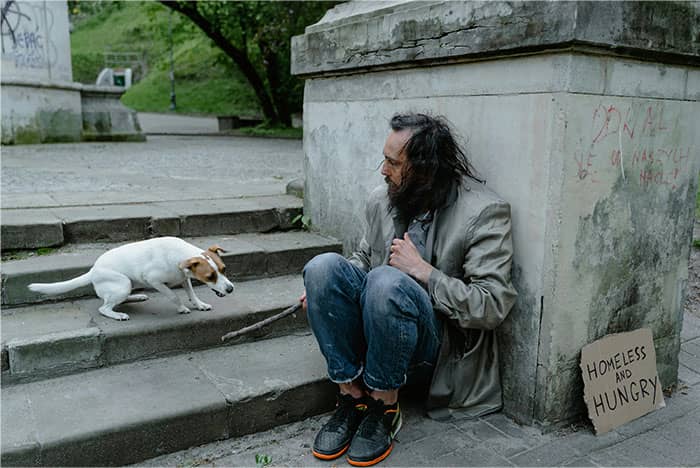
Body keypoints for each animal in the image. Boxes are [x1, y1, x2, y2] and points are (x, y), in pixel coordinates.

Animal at [28, 237, 234, 321]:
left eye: (224, 269)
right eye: (210, 276)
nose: (231, 289)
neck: (181, 255)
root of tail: (93, 270)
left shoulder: (184, 278)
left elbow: (192, 294)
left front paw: (199, 304)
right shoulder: (154, 280)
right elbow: (174, 296)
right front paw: (182, 308)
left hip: (128, 285)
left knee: (115, 300)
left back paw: (137, 297)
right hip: (123, 284)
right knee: (104, 308)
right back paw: (117, 314)